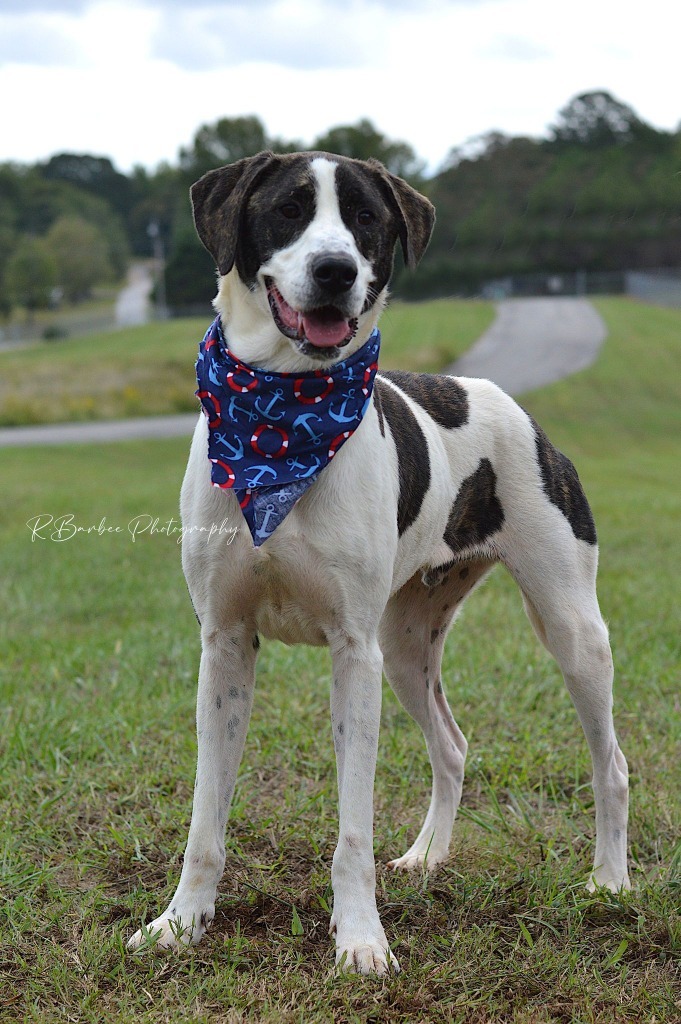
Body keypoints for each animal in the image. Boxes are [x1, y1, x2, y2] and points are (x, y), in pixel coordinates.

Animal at [125, 148, 626, 970]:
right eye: (289, 208)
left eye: (366, 218)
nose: (335, 270)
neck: (282, 416)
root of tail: (502, 398)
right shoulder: (225, 643)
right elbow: (205, 818)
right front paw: (180, 923)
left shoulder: (351, 650)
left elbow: (352, 825)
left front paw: (359, 939)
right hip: (407, 640)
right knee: (452, 746)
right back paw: (427, 857)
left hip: (568, 627)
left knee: (608, 763)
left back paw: (610, 882)